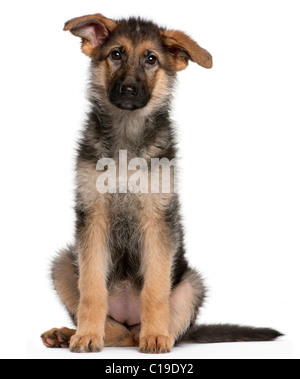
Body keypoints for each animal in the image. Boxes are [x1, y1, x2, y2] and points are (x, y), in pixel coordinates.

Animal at [40, 13, 282, 354]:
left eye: (151, 59)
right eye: (116, 54)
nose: (128, 89)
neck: (127, 138)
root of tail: (129, 319)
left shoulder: (157, 219)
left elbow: (155, 289)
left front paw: (154, 336)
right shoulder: (92, 217)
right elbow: (91, 288)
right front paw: (86, 335)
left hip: (191, 284)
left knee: (144, 329)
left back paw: (153, 333)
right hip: (64, 263)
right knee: (115, 329)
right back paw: (68, 333)